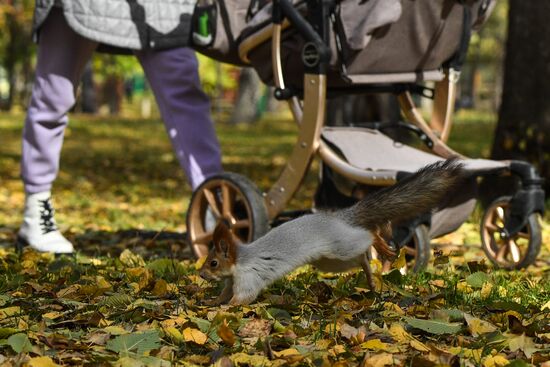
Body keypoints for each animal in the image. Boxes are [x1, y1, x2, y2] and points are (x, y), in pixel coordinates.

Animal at [198, 160, 466, 306]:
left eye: (213, 262)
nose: (200, 274)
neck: (239, 260)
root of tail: (339, 217)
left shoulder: (248, 278)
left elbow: (243, 298)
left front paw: (226, 308)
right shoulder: (231, 281)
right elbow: (224, 294)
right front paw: (213, 301)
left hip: (342, 247)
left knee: (367, 236)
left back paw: (380, 246)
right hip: (332, 261)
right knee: (362, 258)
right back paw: (371, 279)